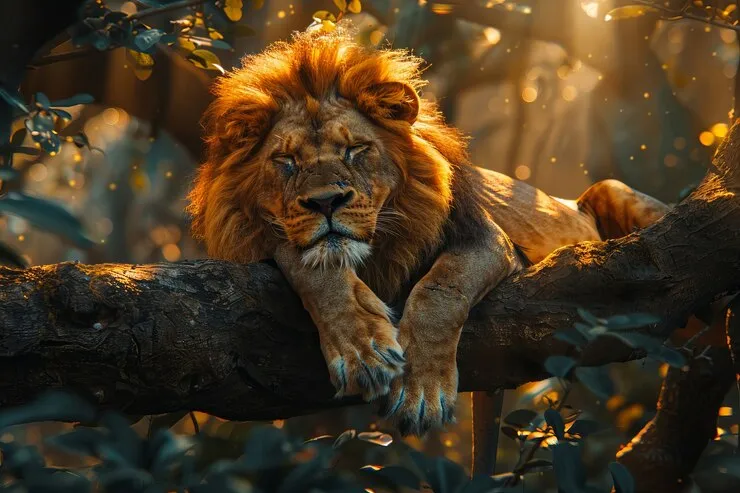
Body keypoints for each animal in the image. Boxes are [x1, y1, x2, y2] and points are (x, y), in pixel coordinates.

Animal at [187, 27, 668, 440]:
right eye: (286, 160)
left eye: (355, 149)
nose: (325, 203)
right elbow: (309, 265)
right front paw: (362, 349)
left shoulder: (491, 242)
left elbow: (441, 289)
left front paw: (421, 392)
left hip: (611, 190)